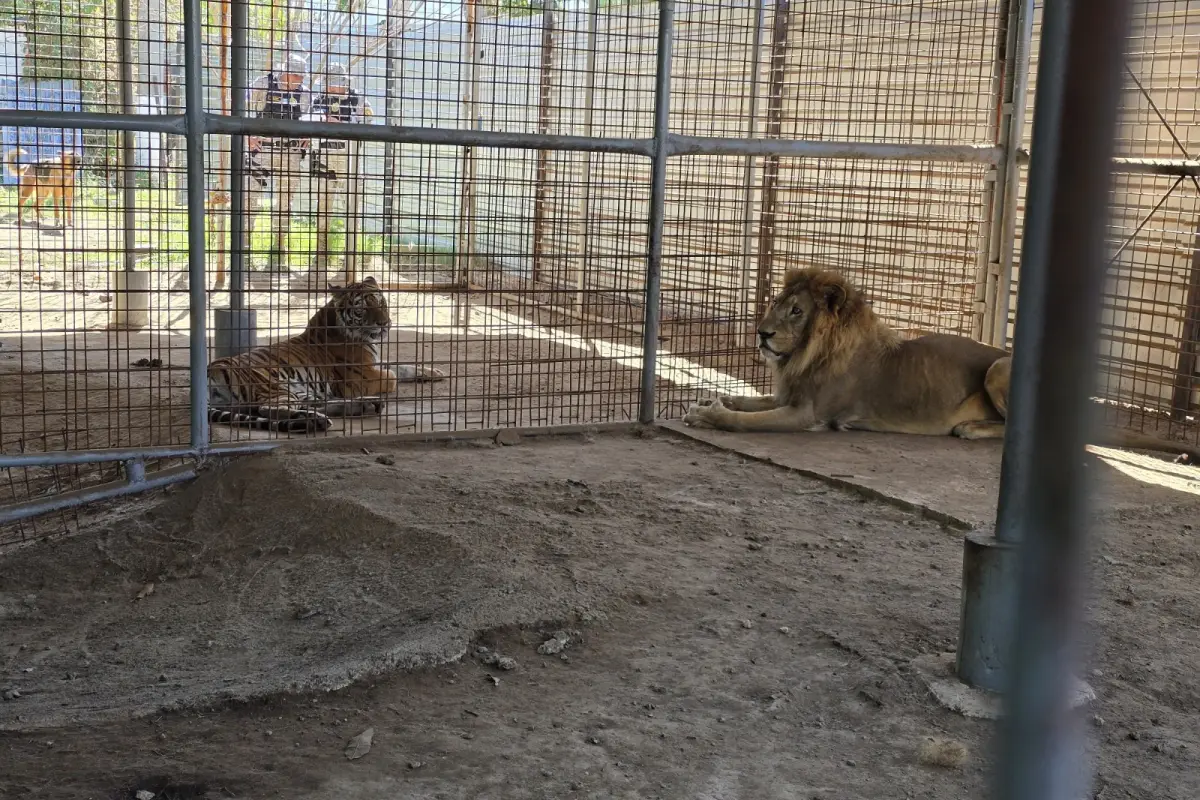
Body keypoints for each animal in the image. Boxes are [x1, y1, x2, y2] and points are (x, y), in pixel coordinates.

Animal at [207, 276, 445, 433]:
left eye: (381, 303)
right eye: (362, 309)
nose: (384, 324)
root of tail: (211, 371)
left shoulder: (375, 363)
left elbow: (402, 366)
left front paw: (434, 372)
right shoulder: (359, 379)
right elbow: (393, 376)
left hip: (298, 389)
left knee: (313, 403)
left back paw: (362, 407)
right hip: (272, 385)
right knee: (270, 409)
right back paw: (313, 421)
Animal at [683, 267, 1199, 466]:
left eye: (795, 311)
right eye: (776, 302)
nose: (761, 333)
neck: (809, 352)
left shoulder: (807, 414)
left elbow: (745, 420)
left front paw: (710, 416)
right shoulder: (786, 395)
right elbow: (743, 399)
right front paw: (706, 402)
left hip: (1000, 368)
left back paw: (969, 429)